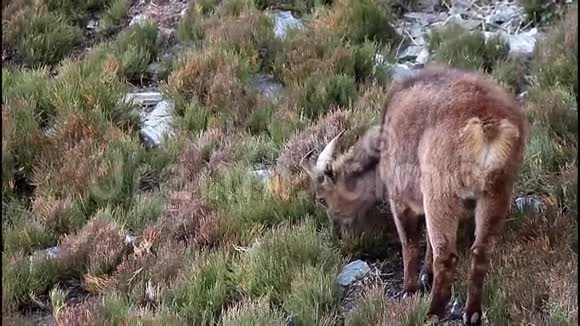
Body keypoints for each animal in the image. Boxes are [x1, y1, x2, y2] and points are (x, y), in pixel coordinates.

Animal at [302, 65, 528, 324]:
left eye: (322, 199)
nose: (337, 232)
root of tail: (487, 125)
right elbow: (428, 240)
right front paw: (424, 275)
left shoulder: (400, 199)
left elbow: (409, 243)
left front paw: (409, 288)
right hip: (497, 189)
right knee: (480, 251)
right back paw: (471, 313)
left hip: (441, 191)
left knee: (446, 256)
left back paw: (432, 312)